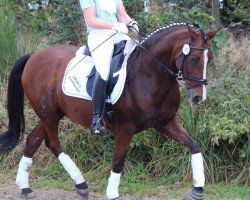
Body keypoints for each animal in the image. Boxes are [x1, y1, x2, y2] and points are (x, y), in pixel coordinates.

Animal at [0, 23, 219, 200]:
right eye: (194, 58)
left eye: (210, 58)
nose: (198, 97)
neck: (150, 74)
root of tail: (34, 56)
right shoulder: (126, 128)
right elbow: (118, 161)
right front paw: (113, 194)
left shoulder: (166, 123)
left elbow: (194, 145)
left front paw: (198, 189)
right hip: (49, 115)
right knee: (53, 143)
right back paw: (78, 183)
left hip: (51, 113)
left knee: (33, 140)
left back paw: (27, 187)